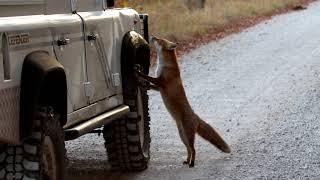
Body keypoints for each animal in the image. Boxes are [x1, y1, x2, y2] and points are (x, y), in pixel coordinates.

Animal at [135, 35, 230, 167]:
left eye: (159, 40)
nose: (152, 36)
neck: (165, 66)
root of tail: (196, 117)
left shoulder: (160, 81)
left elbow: (147, 77)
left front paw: (138, 73)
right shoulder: (158, 87)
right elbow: (147, 85)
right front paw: (140, 83)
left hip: (187, 135)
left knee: (194, 149)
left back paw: (192, 163)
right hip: (182, 136)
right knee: (189, 149)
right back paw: (187, 160)